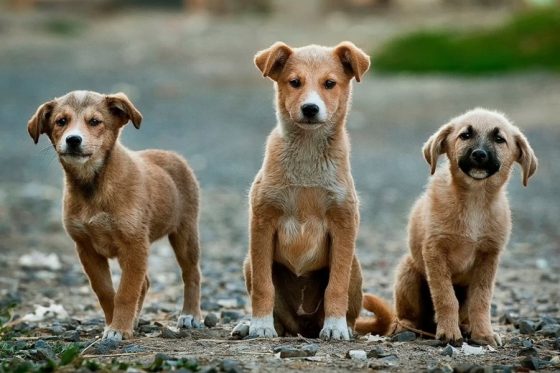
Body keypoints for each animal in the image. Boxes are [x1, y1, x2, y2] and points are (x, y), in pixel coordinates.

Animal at [27, 90, 203, 340]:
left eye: (94, 122)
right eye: (61, 121)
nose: (73, 140)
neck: (93, 186)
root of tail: (172, 155)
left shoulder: (134, 244)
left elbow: (127, 291)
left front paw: (119, 328)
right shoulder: (86, 248)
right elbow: (106, 291)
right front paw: (115, 324)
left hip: (185, 233)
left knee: (191, 273)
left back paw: (190, 315)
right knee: (145, 282)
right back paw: (136, 320)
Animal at [233, 42, 372, 338]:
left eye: (329, 83)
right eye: (294, 82)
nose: (310, 108)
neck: (307, 155)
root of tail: (303, 326)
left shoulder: (344, 223)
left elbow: (336, 286)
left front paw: (335, 327)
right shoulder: (262, 221)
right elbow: (263, 286)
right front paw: (260, 325)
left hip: (355, 266)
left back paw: (343, 326)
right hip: (248, 263)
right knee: (279, 315)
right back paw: (253, 325)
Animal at [354, 107, 540, 346]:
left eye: (499, 139)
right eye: (465, 135)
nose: (479, 154)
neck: (474, 201)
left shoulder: (488, 257)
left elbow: (481, 300)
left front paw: (483, 333)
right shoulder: (435, 251)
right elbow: (445, 296)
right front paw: (449, 332)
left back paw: (466, 327)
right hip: (408, 271)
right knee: (407, 316)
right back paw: (407, 327)